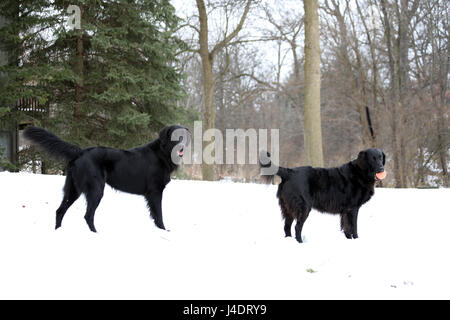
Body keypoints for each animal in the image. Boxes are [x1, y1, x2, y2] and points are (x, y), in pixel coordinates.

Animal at [23, 125, 189, 232]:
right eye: (175, 136)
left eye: (184, 136)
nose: (182, 147)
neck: (162, 153)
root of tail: (80, 151)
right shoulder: (155, 191)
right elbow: (159, 214)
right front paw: (164, 230)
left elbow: (155, 215)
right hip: (96, 189)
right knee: (88, 215)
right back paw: (95, 234)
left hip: (73, 189)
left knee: (60, 211)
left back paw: (58, 232)